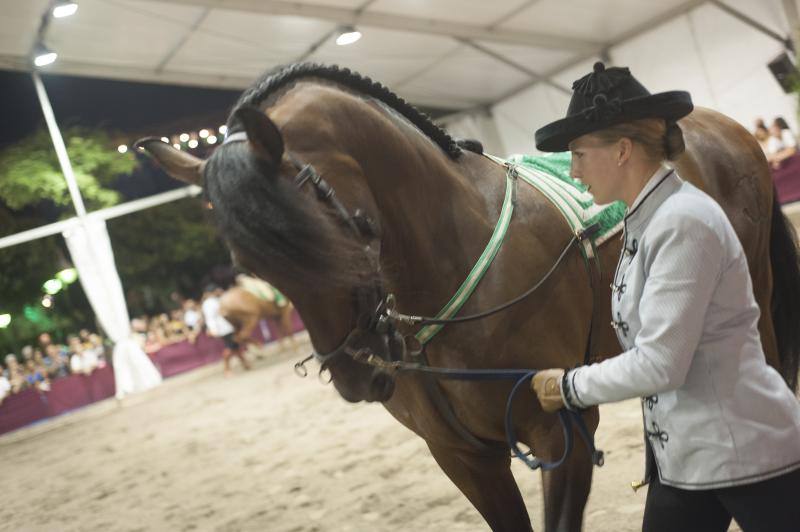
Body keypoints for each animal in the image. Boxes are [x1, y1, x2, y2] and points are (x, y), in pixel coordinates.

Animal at [138, 63, 800, 532]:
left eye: (351, 229)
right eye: (250, 263)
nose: (359, 374)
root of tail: (721, 126)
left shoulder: (560, 431)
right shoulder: (461, 456)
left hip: (754, 296)